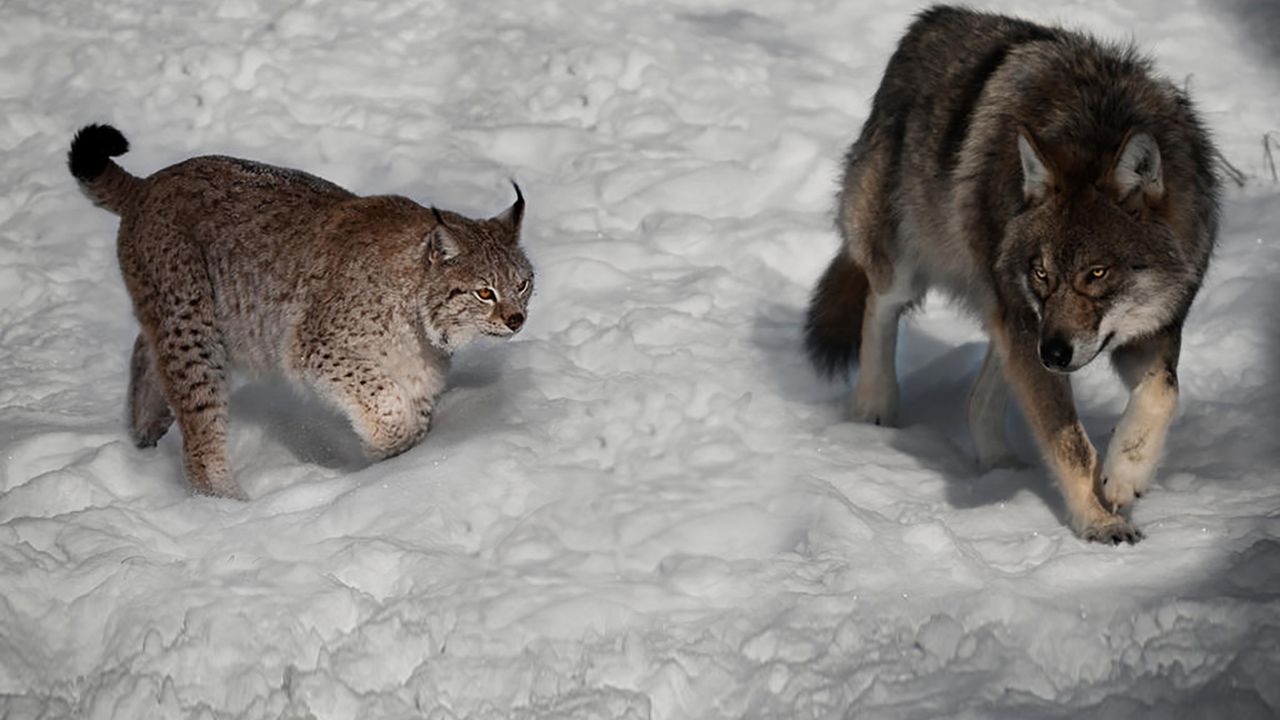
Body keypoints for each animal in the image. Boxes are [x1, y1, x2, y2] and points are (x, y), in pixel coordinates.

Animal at [71, 122, 529, 497]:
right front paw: (384, 446)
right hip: (193, 325)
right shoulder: (313, 346)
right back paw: (224, 505)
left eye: (523, 284)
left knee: (143, 348)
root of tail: (149, 182)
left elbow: (412, 418)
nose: (517, 320)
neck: (420, 323)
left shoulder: (416, 373)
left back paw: (145, 432)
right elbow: (382, 397)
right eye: (484, 292)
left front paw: (398, 466)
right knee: (199, 432)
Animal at [808, 7, 1218, 543]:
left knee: (980, 394)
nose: (1055, 353)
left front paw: (1124, 476)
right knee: (880, 304)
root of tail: (931, 19)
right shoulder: (1032, 327)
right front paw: (1099, 521)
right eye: (1042, 273)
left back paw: (1000, 465)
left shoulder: (1150, 331)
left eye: (1096, 273)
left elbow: (1164, 394)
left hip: (1009, 316)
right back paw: (875, 408)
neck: (1097, 121)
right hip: (915, 269)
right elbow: (1071, 444)